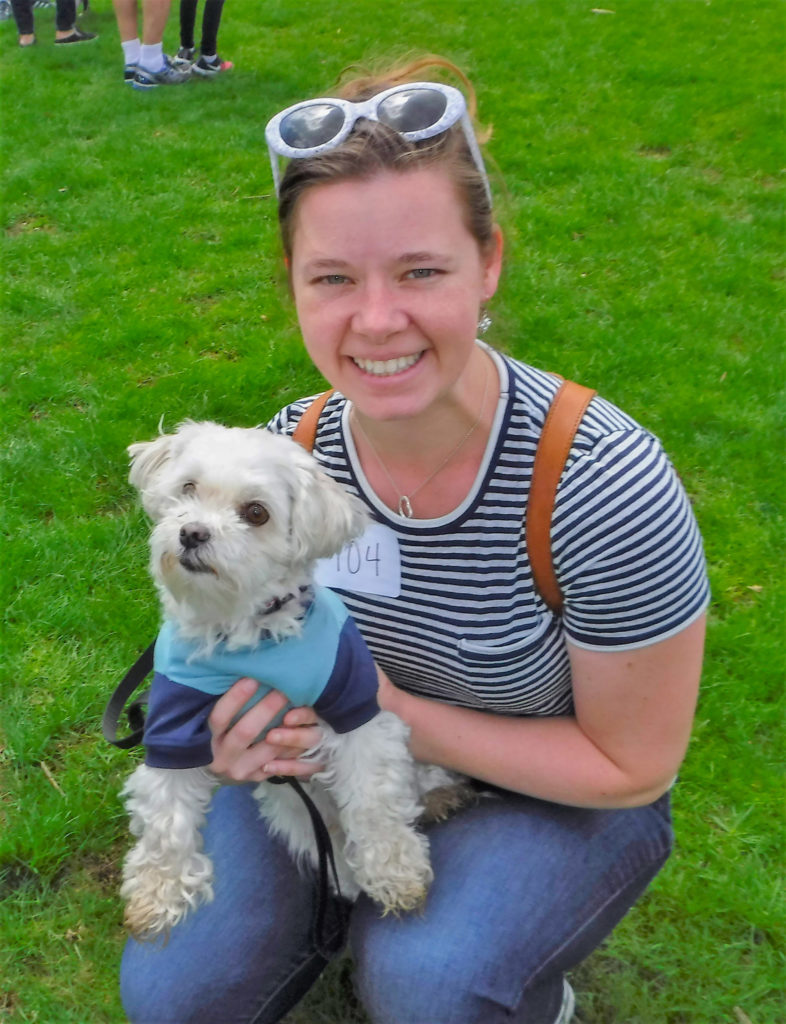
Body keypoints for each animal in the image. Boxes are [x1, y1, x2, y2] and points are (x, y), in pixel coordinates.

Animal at [120, 420, 468, 940]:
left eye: (256, 513)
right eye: (188, 488)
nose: (192, 532)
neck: (247, 632)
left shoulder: (356, 707)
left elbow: (375, 799)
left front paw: (395, 871)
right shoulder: (173, 726)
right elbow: (166, 817)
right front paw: (158, 890)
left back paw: (442, 795)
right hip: (292, 810)